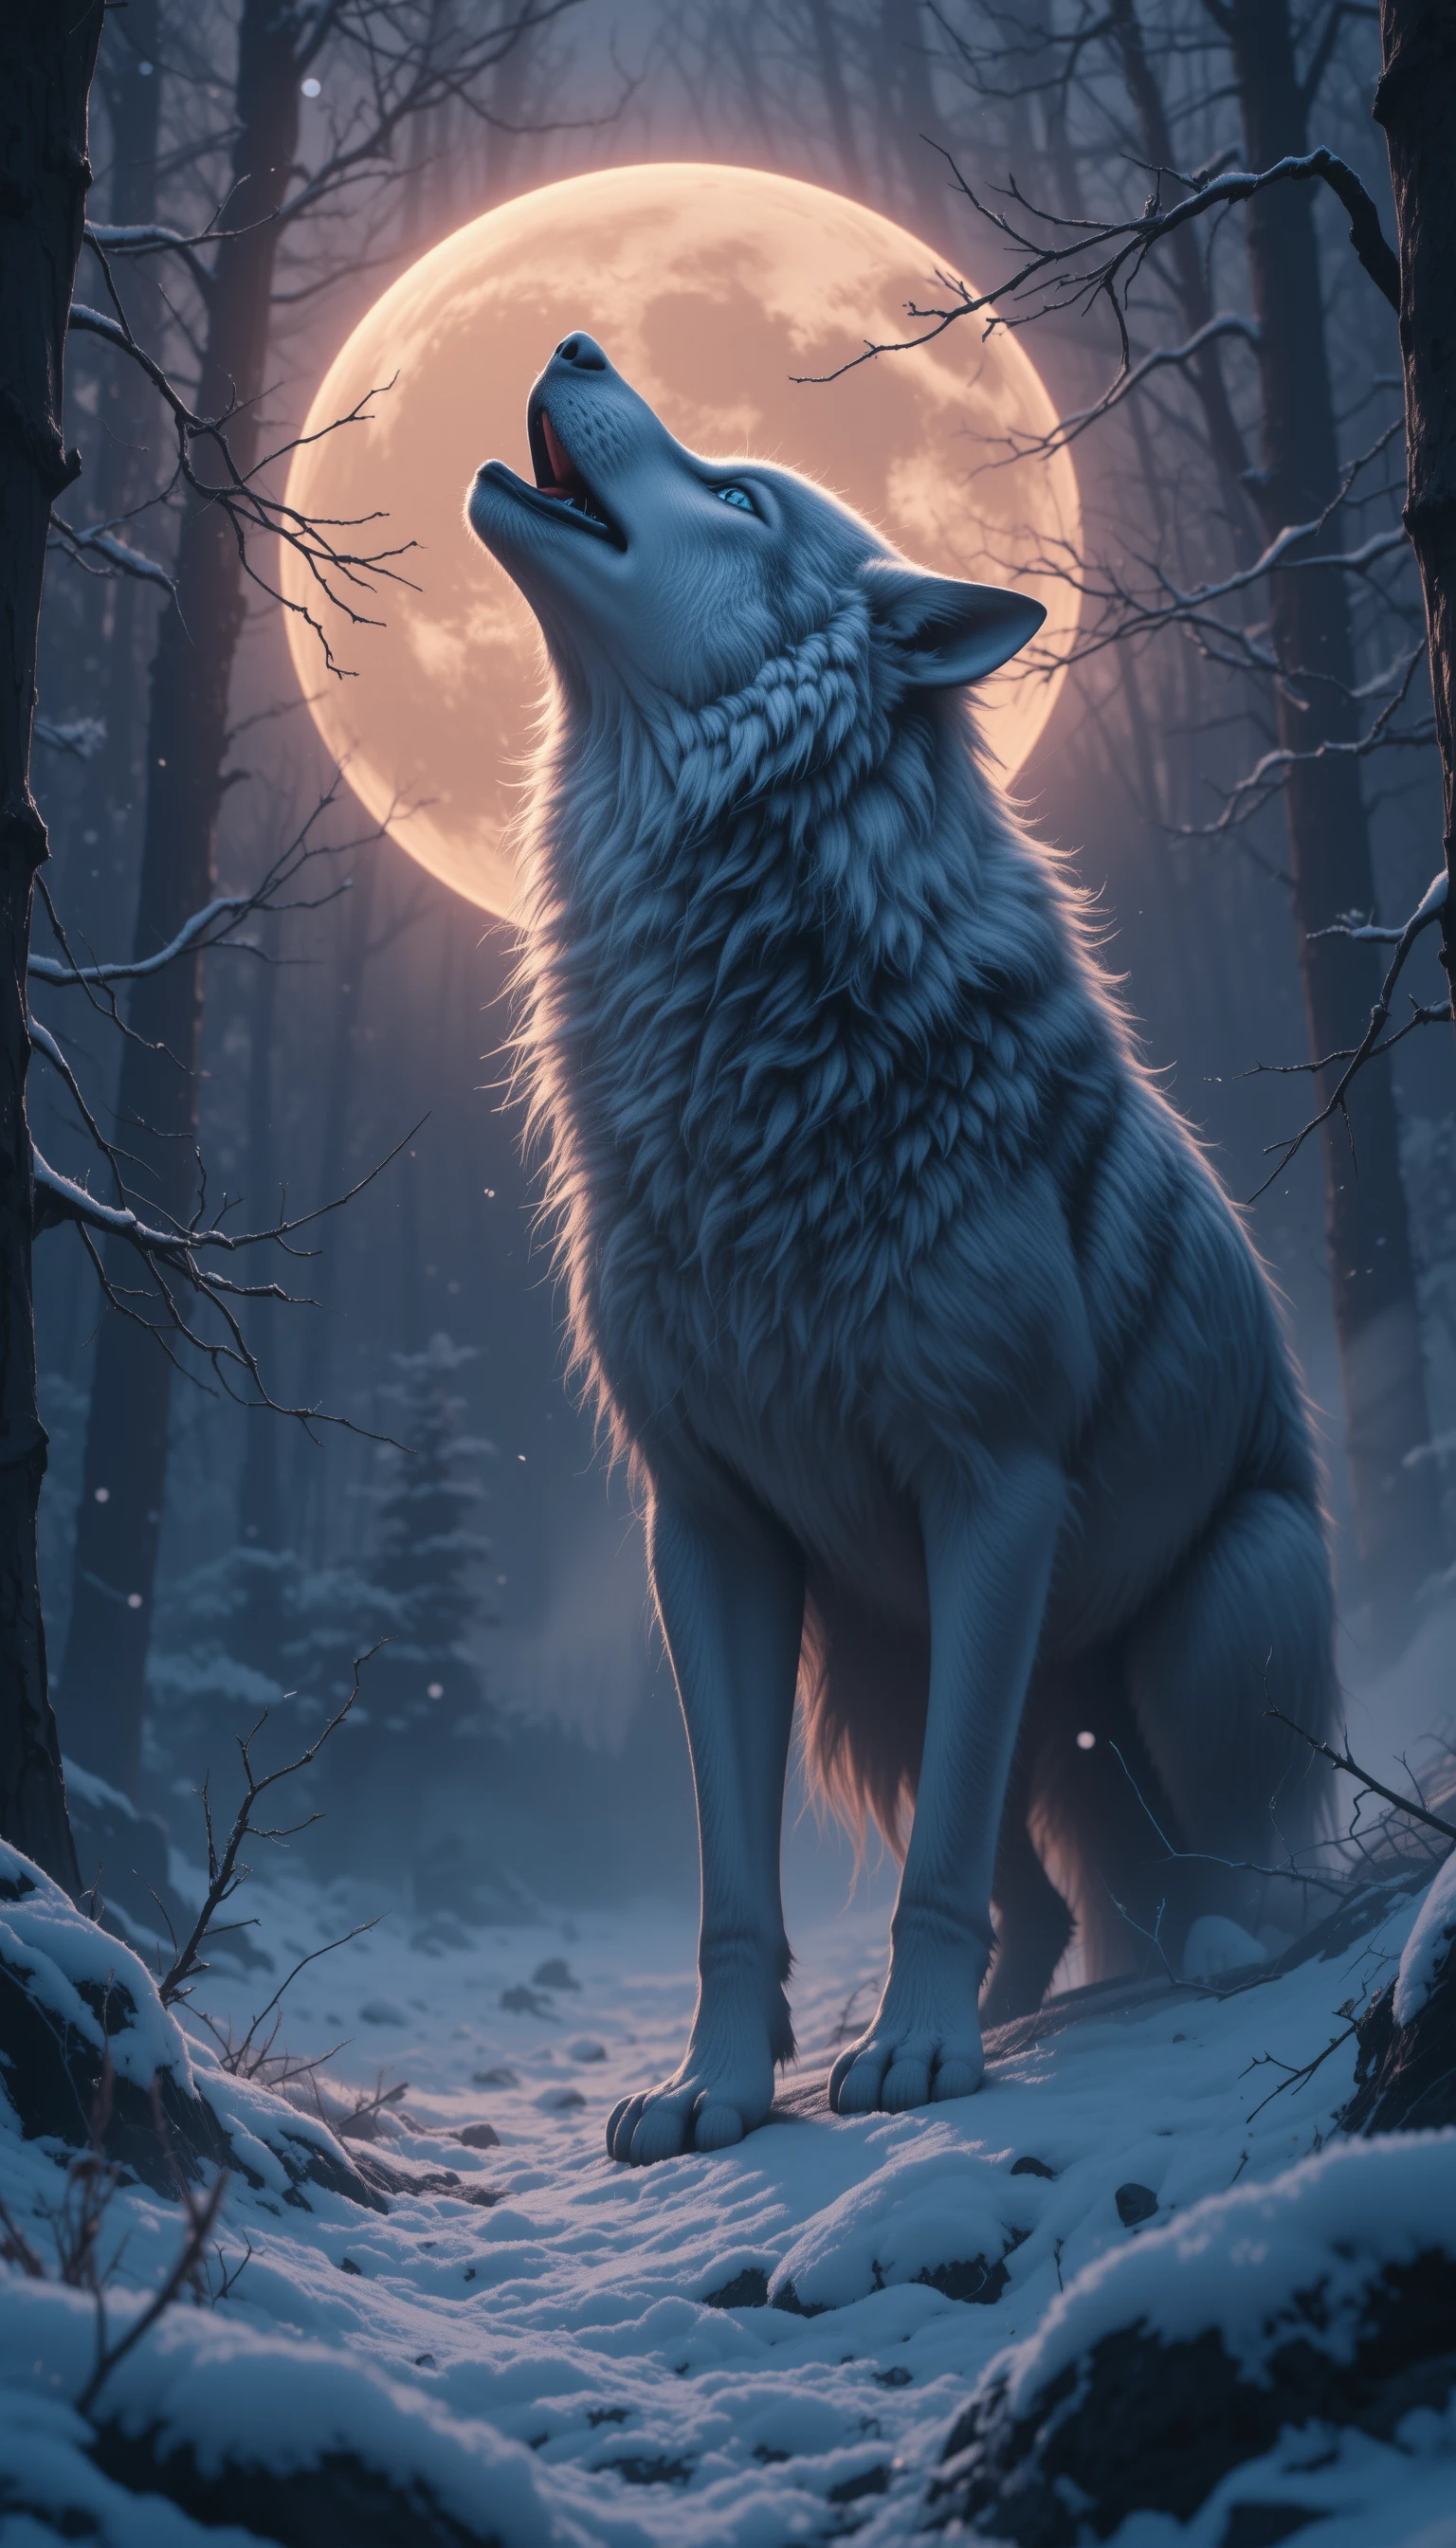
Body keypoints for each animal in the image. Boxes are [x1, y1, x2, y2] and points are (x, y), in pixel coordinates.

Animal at [467, 332, 1336, 2166]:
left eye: (740, 495)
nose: (573, 338)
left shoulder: (995, 1489)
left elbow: (929, 1872)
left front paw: (920, 2057)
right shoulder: (706, 1530)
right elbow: (734, 1883)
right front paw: (721, 2090)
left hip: (1207, 1620)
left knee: (1219, 1868)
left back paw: (1195, 1953)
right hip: (875, 1676)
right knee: (1051, 1893)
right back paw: (1009, 2003)